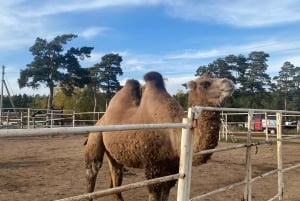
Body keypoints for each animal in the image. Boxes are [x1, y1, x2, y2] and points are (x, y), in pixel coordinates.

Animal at [84, 71, 234, 200]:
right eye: (205, 83)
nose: (230, 83)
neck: (174, 137)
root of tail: (101, 119)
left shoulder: (172, 168)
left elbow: (165, 193)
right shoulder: (152, 165)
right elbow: (154, 193)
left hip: (115, 153)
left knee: (116, 175)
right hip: (95, 136)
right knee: (92, 170)